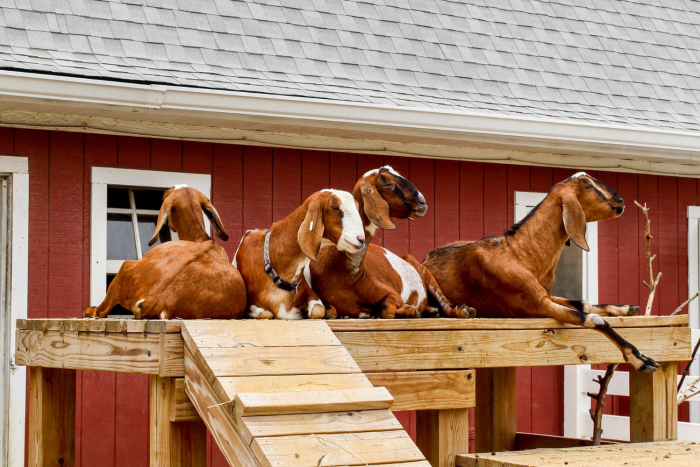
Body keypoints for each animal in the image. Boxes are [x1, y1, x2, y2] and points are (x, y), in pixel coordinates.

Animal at [308, 166, 474, 319]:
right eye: (387, 183)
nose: (422, 202)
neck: (350, 275)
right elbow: (329, 311)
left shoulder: (392, 294)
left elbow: (386, 309)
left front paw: (409, 310)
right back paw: (431, 311)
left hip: (426, 272)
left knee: (444, 302)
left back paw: (462, 310)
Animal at [423, 172, 658, 372]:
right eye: (587, 184)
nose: (621, 200)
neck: (522, 254)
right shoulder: (536, 304)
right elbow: (592, 319)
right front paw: (641, 359)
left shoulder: (543, 294)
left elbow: (585, 304)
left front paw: (625, 308)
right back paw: (456, 310)